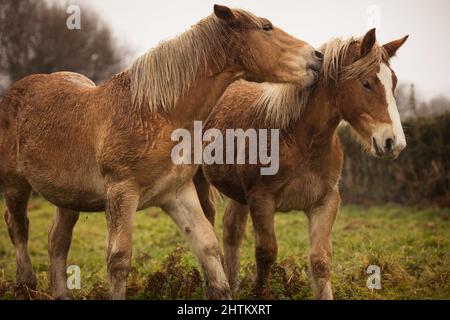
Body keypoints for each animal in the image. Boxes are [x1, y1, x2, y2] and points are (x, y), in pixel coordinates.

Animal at [0, 4, 324, 300]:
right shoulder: (122, 193)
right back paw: (26, 282)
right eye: (266, 27)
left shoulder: (177, 193)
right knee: (18, 227)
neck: (156, 112)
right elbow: (118, 259)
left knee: (57, 241)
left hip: (67, 197)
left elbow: (208, 247)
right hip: (16, 185)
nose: (317, 57)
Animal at [199, 28, 410, 298]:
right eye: (366, 83)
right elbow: (266, 253)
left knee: (231, 232)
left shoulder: (325, 202)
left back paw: (233, 285)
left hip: (238, 195)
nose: (394, 143)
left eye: (393, 82)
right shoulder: (261, 200)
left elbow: (320, 260)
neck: (298, 137)